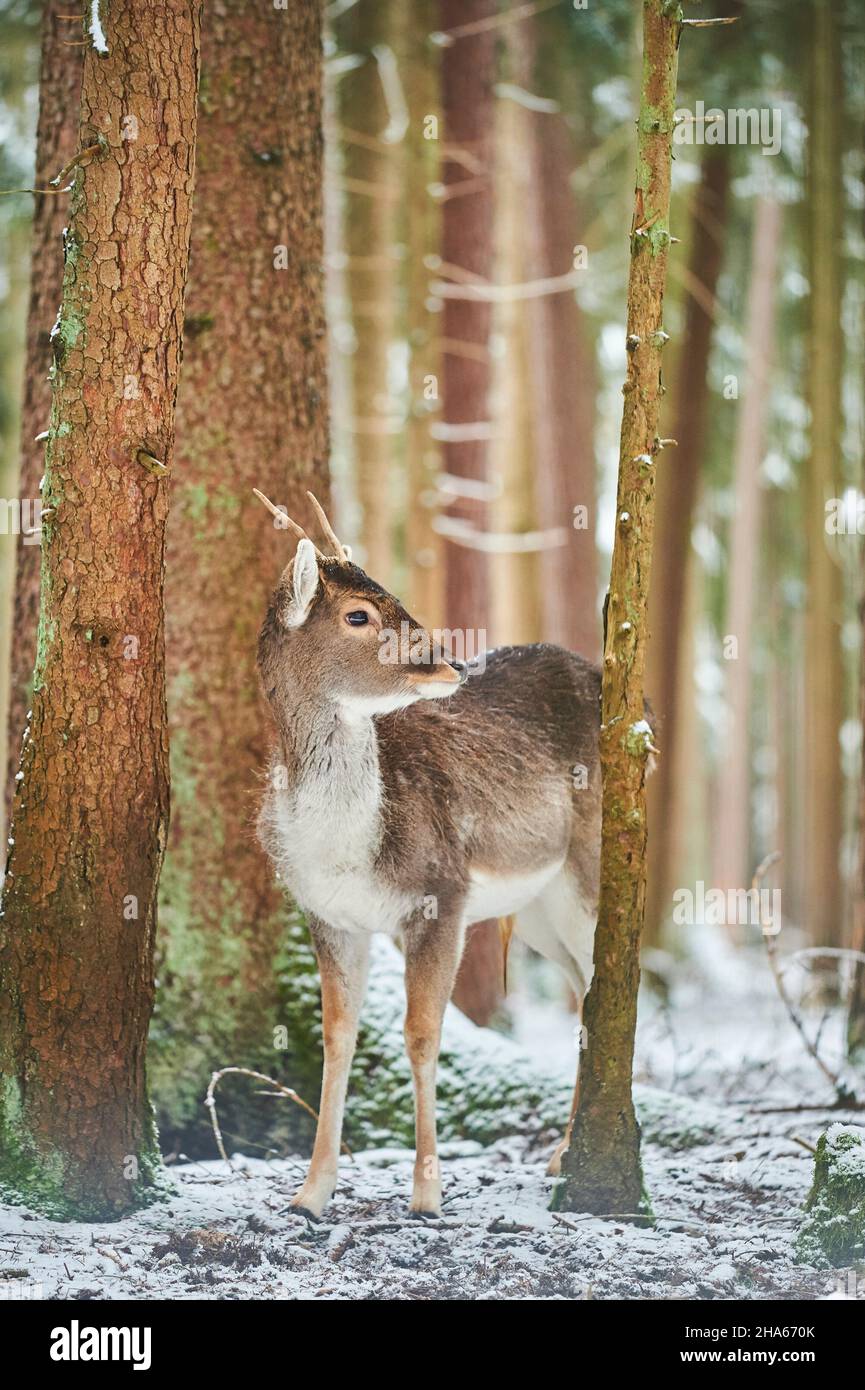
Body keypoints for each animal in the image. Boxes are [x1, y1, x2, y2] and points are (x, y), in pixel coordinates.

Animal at [254, 492, 634, 1217]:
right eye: (359, 614)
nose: (449, 662)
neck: (351, 848)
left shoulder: (443, 892)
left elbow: (421, 1033)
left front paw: (427, 1194)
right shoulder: (328, 914)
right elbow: (338, 1036)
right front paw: (310, 1194)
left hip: (591, 870)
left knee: (604, 984)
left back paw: (573, 1159)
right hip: (537, 906)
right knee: (580, 992)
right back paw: (561, 1156)